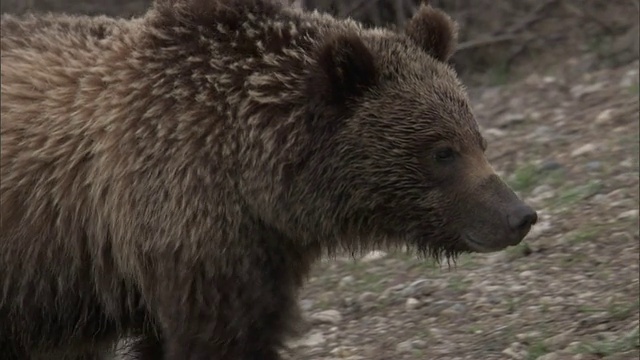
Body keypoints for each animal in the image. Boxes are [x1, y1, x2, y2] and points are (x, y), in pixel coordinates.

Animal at [2, 0, 536, 358]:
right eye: (442, 152)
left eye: (478, 140)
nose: (520, 215)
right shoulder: (184, 227)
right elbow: (217, 335)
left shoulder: (259, 253)